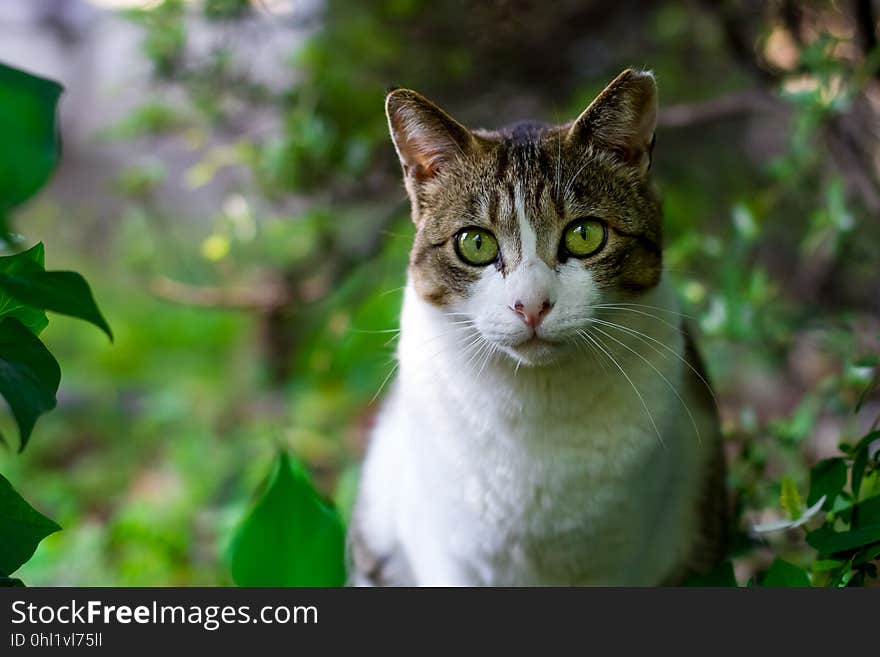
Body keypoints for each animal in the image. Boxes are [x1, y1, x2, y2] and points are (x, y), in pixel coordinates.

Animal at [348, 70, 724, 584]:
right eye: (475, 243)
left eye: (585, 235)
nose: (531, 306)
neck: (535, 400)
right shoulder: (447, 556)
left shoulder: (623, 559)